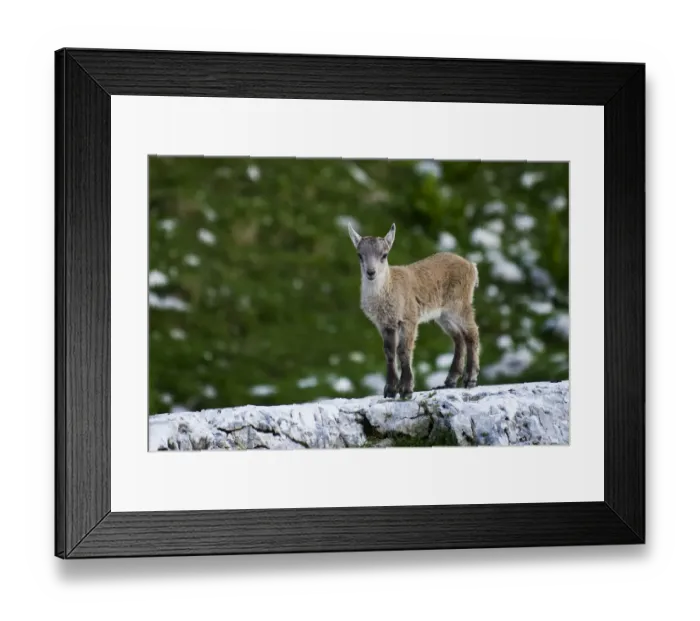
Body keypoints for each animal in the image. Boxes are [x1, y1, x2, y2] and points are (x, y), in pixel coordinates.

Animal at [348, 223, 481, 399]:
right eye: (359, 255)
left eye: (384, 255)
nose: (371, 272)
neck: (389, 288)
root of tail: (471, 266)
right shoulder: (385, 324)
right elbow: (389, 352)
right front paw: (390, 390)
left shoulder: (409, 319)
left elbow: (403, 350)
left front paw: (406, 390)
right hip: (443, 314)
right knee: (459, 337)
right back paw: (449, 381)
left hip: (459, 304)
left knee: (472, 333)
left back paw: (470, 379)